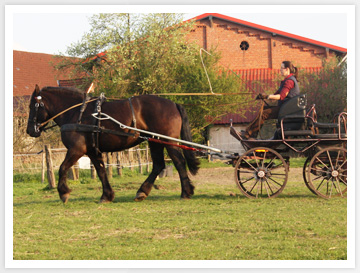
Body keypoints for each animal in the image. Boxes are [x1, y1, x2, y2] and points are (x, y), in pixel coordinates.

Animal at [26, 85, 200, 202]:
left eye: (33, 106)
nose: (29, 130)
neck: (77, 113)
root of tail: (173, 104)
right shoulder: (92, 151)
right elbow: (101, 171)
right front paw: (107, 195)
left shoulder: (76, 149)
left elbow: (62, 168)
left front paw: (63, 193)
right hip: (155, 142)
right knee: (158, 165)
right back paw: (142, 191)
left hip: (169, 141)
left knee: (179, 162)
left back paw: (186, 192)